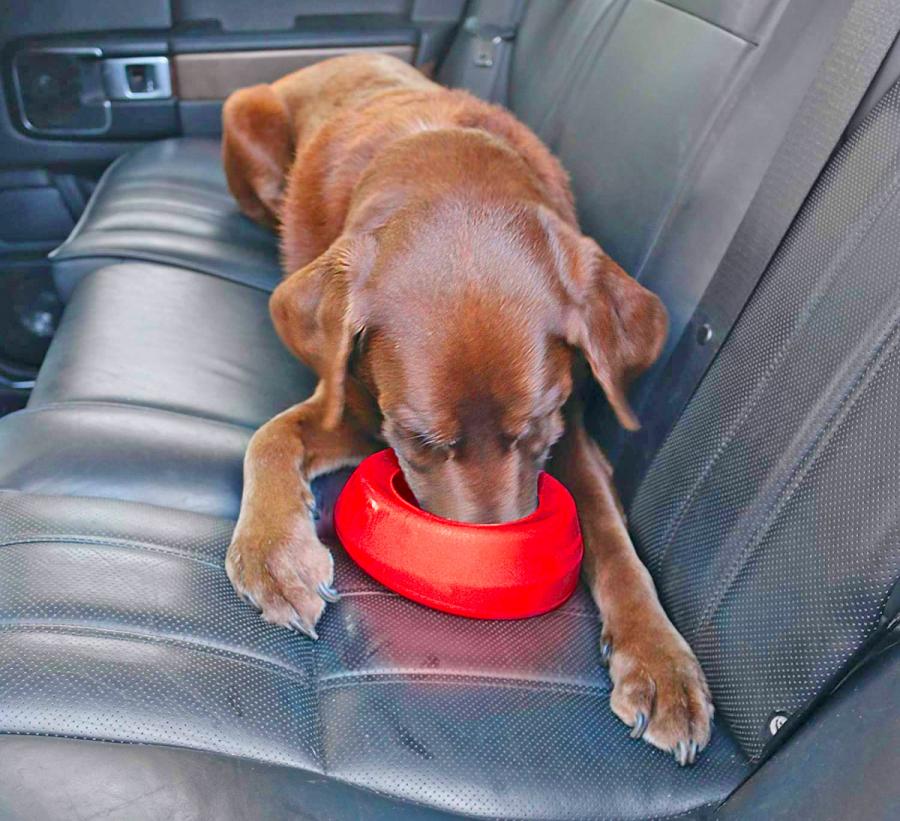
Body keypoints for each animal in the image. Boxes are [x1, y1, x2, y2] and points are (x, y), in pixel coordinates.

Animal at [223, 54, 712, 764]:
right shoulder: (354, 402)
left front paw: (659, 661)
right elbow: (269, 437)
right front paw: (274, 554)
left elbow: (613, 538)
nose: (493, 574)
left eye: (542, 428)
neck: (440, 154)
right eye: (418, 440)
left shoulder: (576, 433)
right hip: (244, 110)